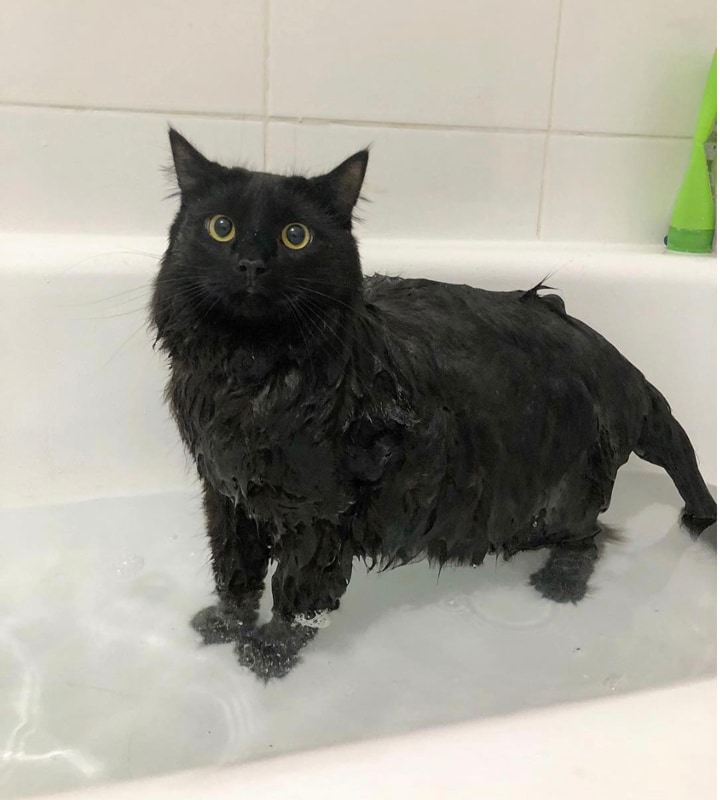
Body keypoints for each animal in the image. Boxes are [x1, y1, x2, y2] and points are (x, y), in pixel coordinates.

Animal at [151, 128, 716, 680]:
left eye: (296, 236)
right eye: (221, 227)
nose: (250, 263)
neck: (247, 377)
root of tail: (619, 365)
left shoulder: (318, 514)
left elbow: (298, 595)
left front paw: (270, 652)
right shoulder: (225, 494)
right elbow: (234, 571)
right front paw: (226, 624)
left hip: (568, 489)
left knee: (589, 538)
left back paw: (561, 582)